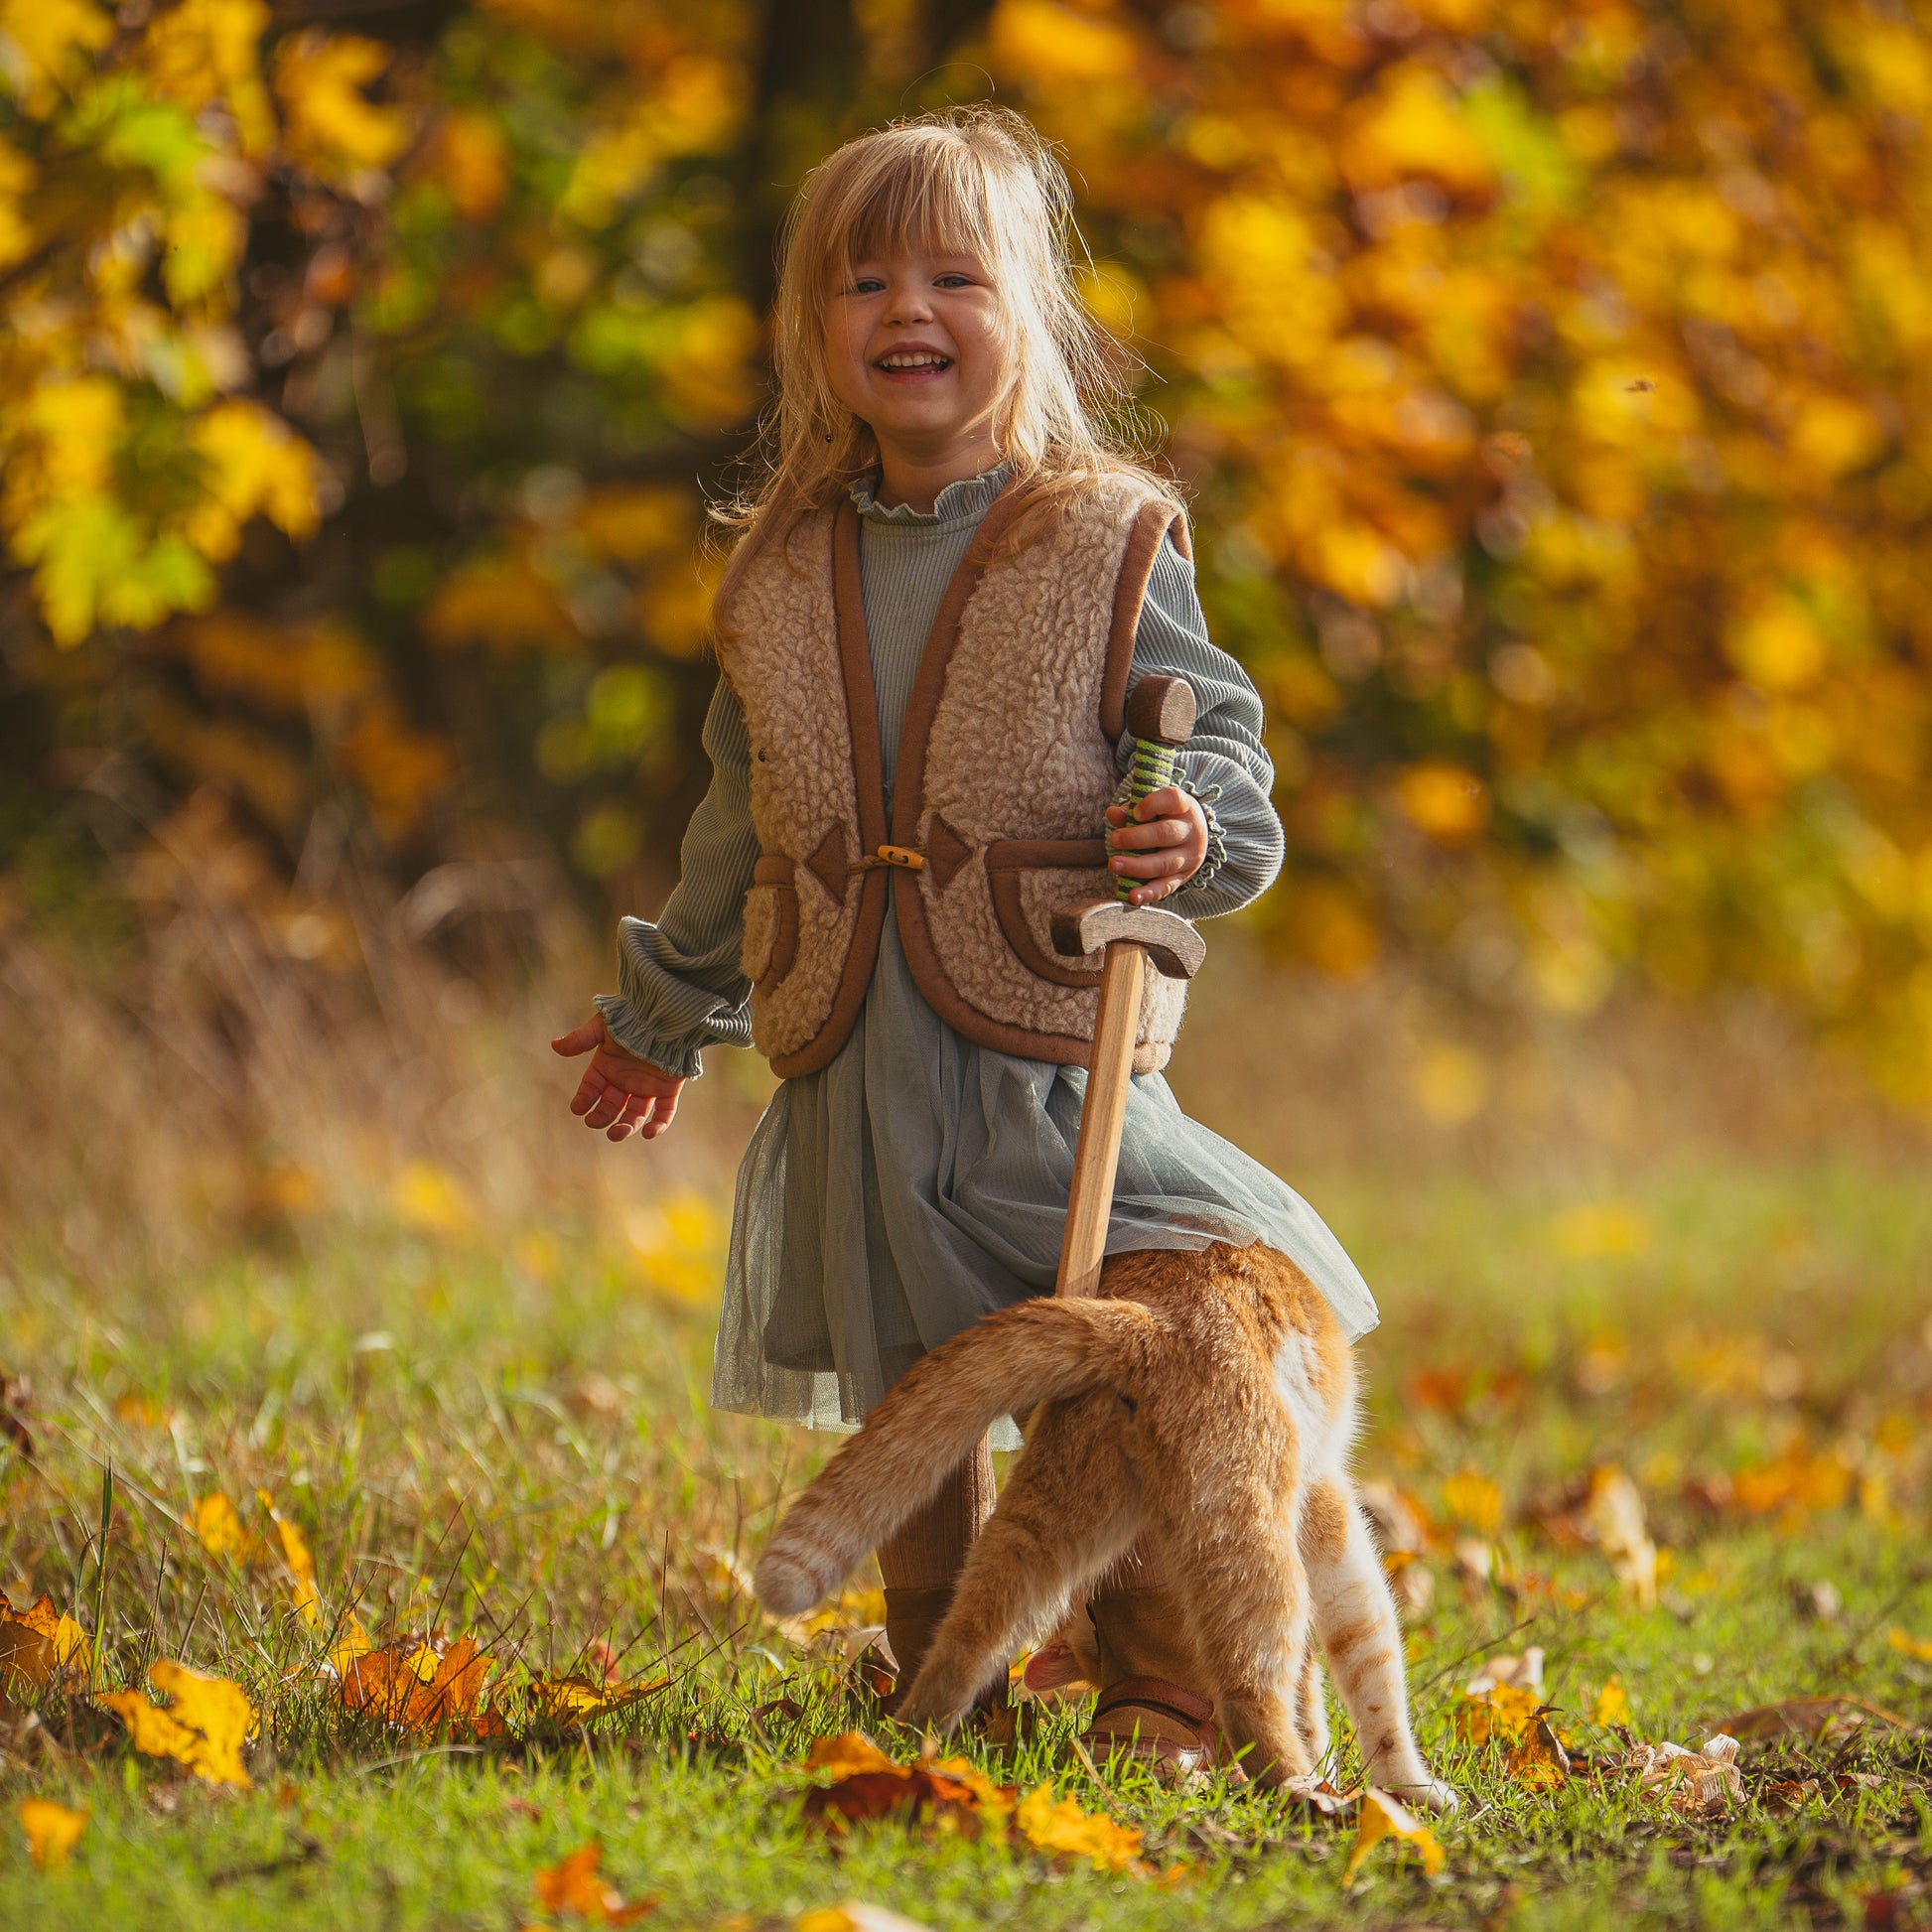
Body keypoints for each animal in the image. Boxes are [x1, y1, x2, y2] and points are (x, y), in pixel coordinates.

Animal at [753, 1244, 1452, 1800]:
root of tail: (1143, 1321)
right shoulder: (1329, 1516)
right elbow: (1373, 1666)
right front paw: (1407, 1790)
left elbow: (1318, 1694)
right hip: (1251, 1539)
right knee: (1250, 1693)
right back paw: (1309, 1794)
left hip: (1035, 1535)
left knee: (961, 1646)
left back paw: (905, 1757)